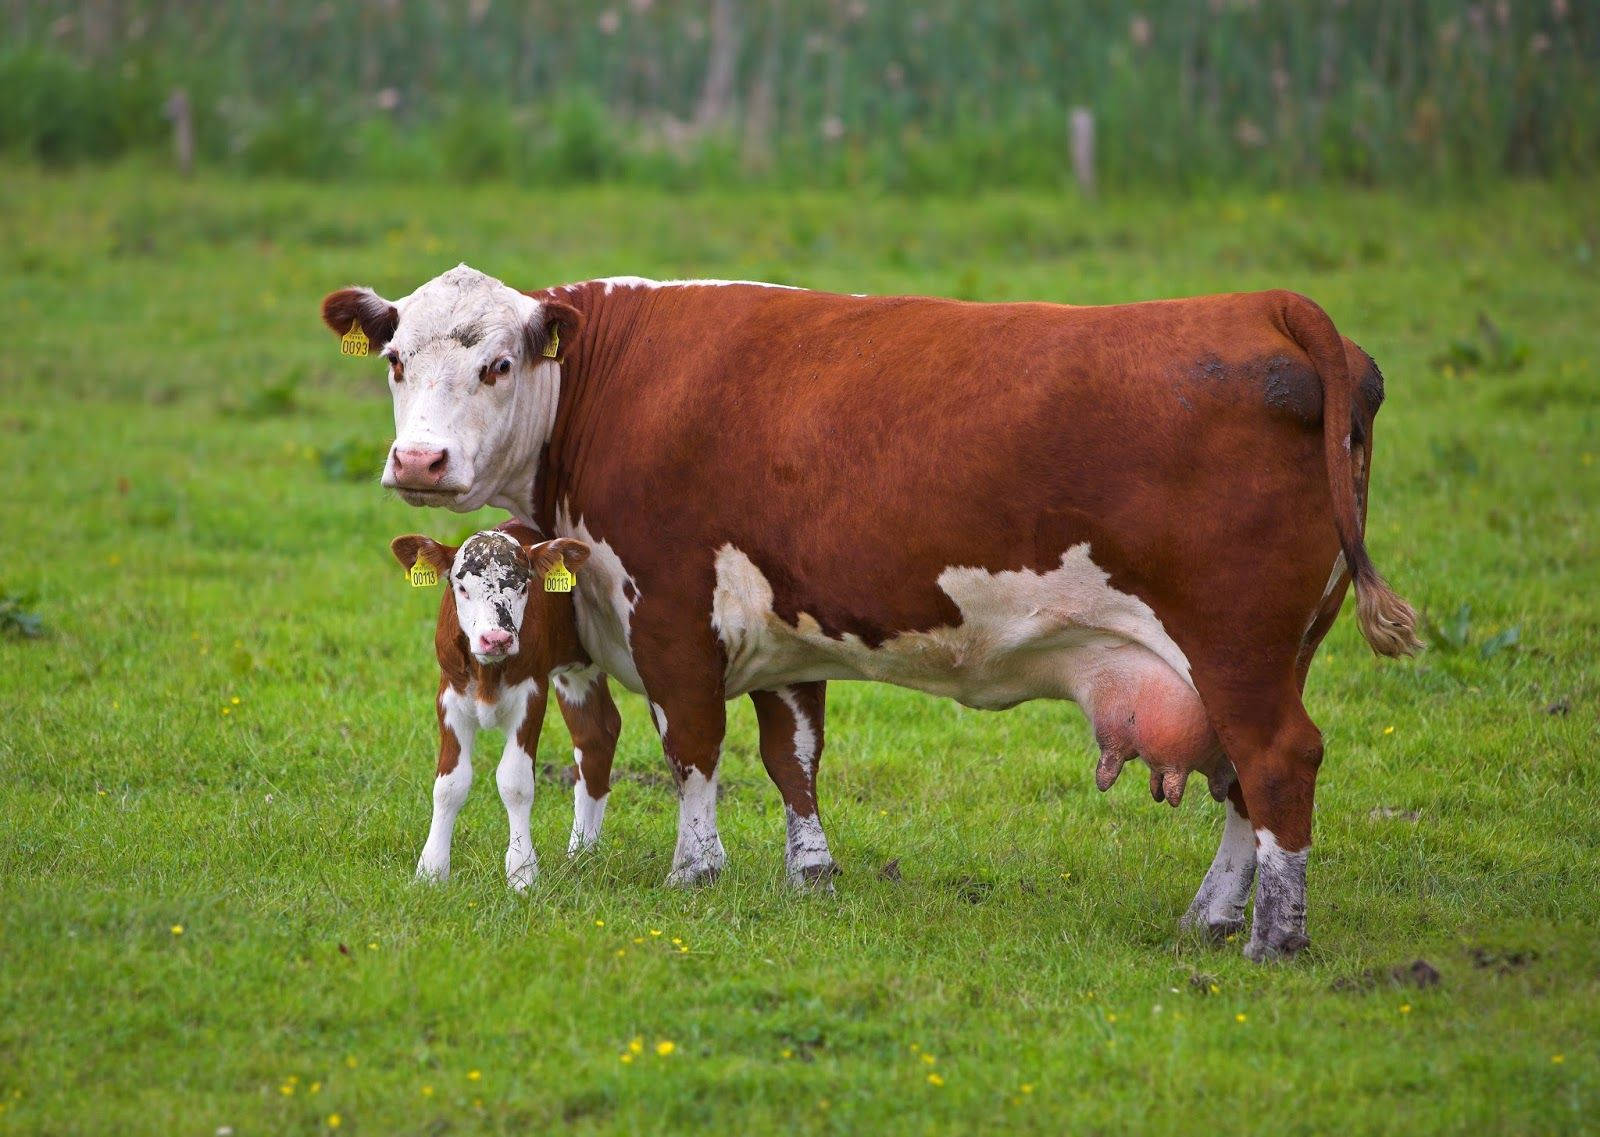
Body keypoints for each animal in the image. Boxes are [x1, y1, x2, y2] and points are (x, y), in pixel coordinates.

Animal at [390, 521, 620, 889]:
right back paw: (582, 853)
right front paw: (432, 871)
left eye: (524, 586)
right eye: (462, 588)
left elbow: (515, 782)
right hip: (579, 675)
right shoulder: (449, 696)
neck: (488, 672)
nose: (497, 638)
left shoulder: (532, 694)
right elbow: (449, 785)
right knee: (596, 735)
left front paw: (522, 873)